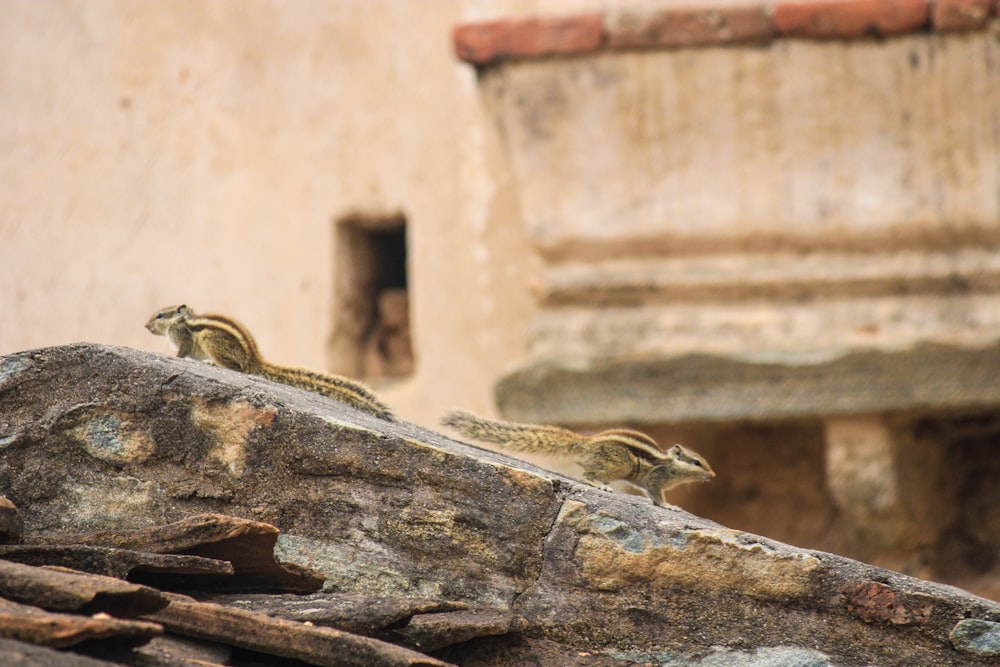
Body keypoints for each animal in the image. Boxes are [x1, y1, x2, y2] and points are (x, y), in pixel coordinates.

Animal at [146, 306, 392, 420]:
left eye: (159, 315)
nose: (146, 326)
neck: (183, 319)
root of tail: (254, 359)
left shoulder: (183, 339)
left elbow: (181, 352)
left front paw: (175, 358)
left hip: (209, 339)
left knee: (236, 368)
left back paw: (213, 363)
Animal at [442, 410, 716, 508]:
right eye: (697, 462)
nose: (713, 475)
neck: (672, 466)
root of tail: (587, 442)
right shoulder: (656, 479)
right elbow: (656, 495)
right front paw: (669, 506)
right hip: (621, 462)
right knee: (587, 473)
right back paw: (601, 484)